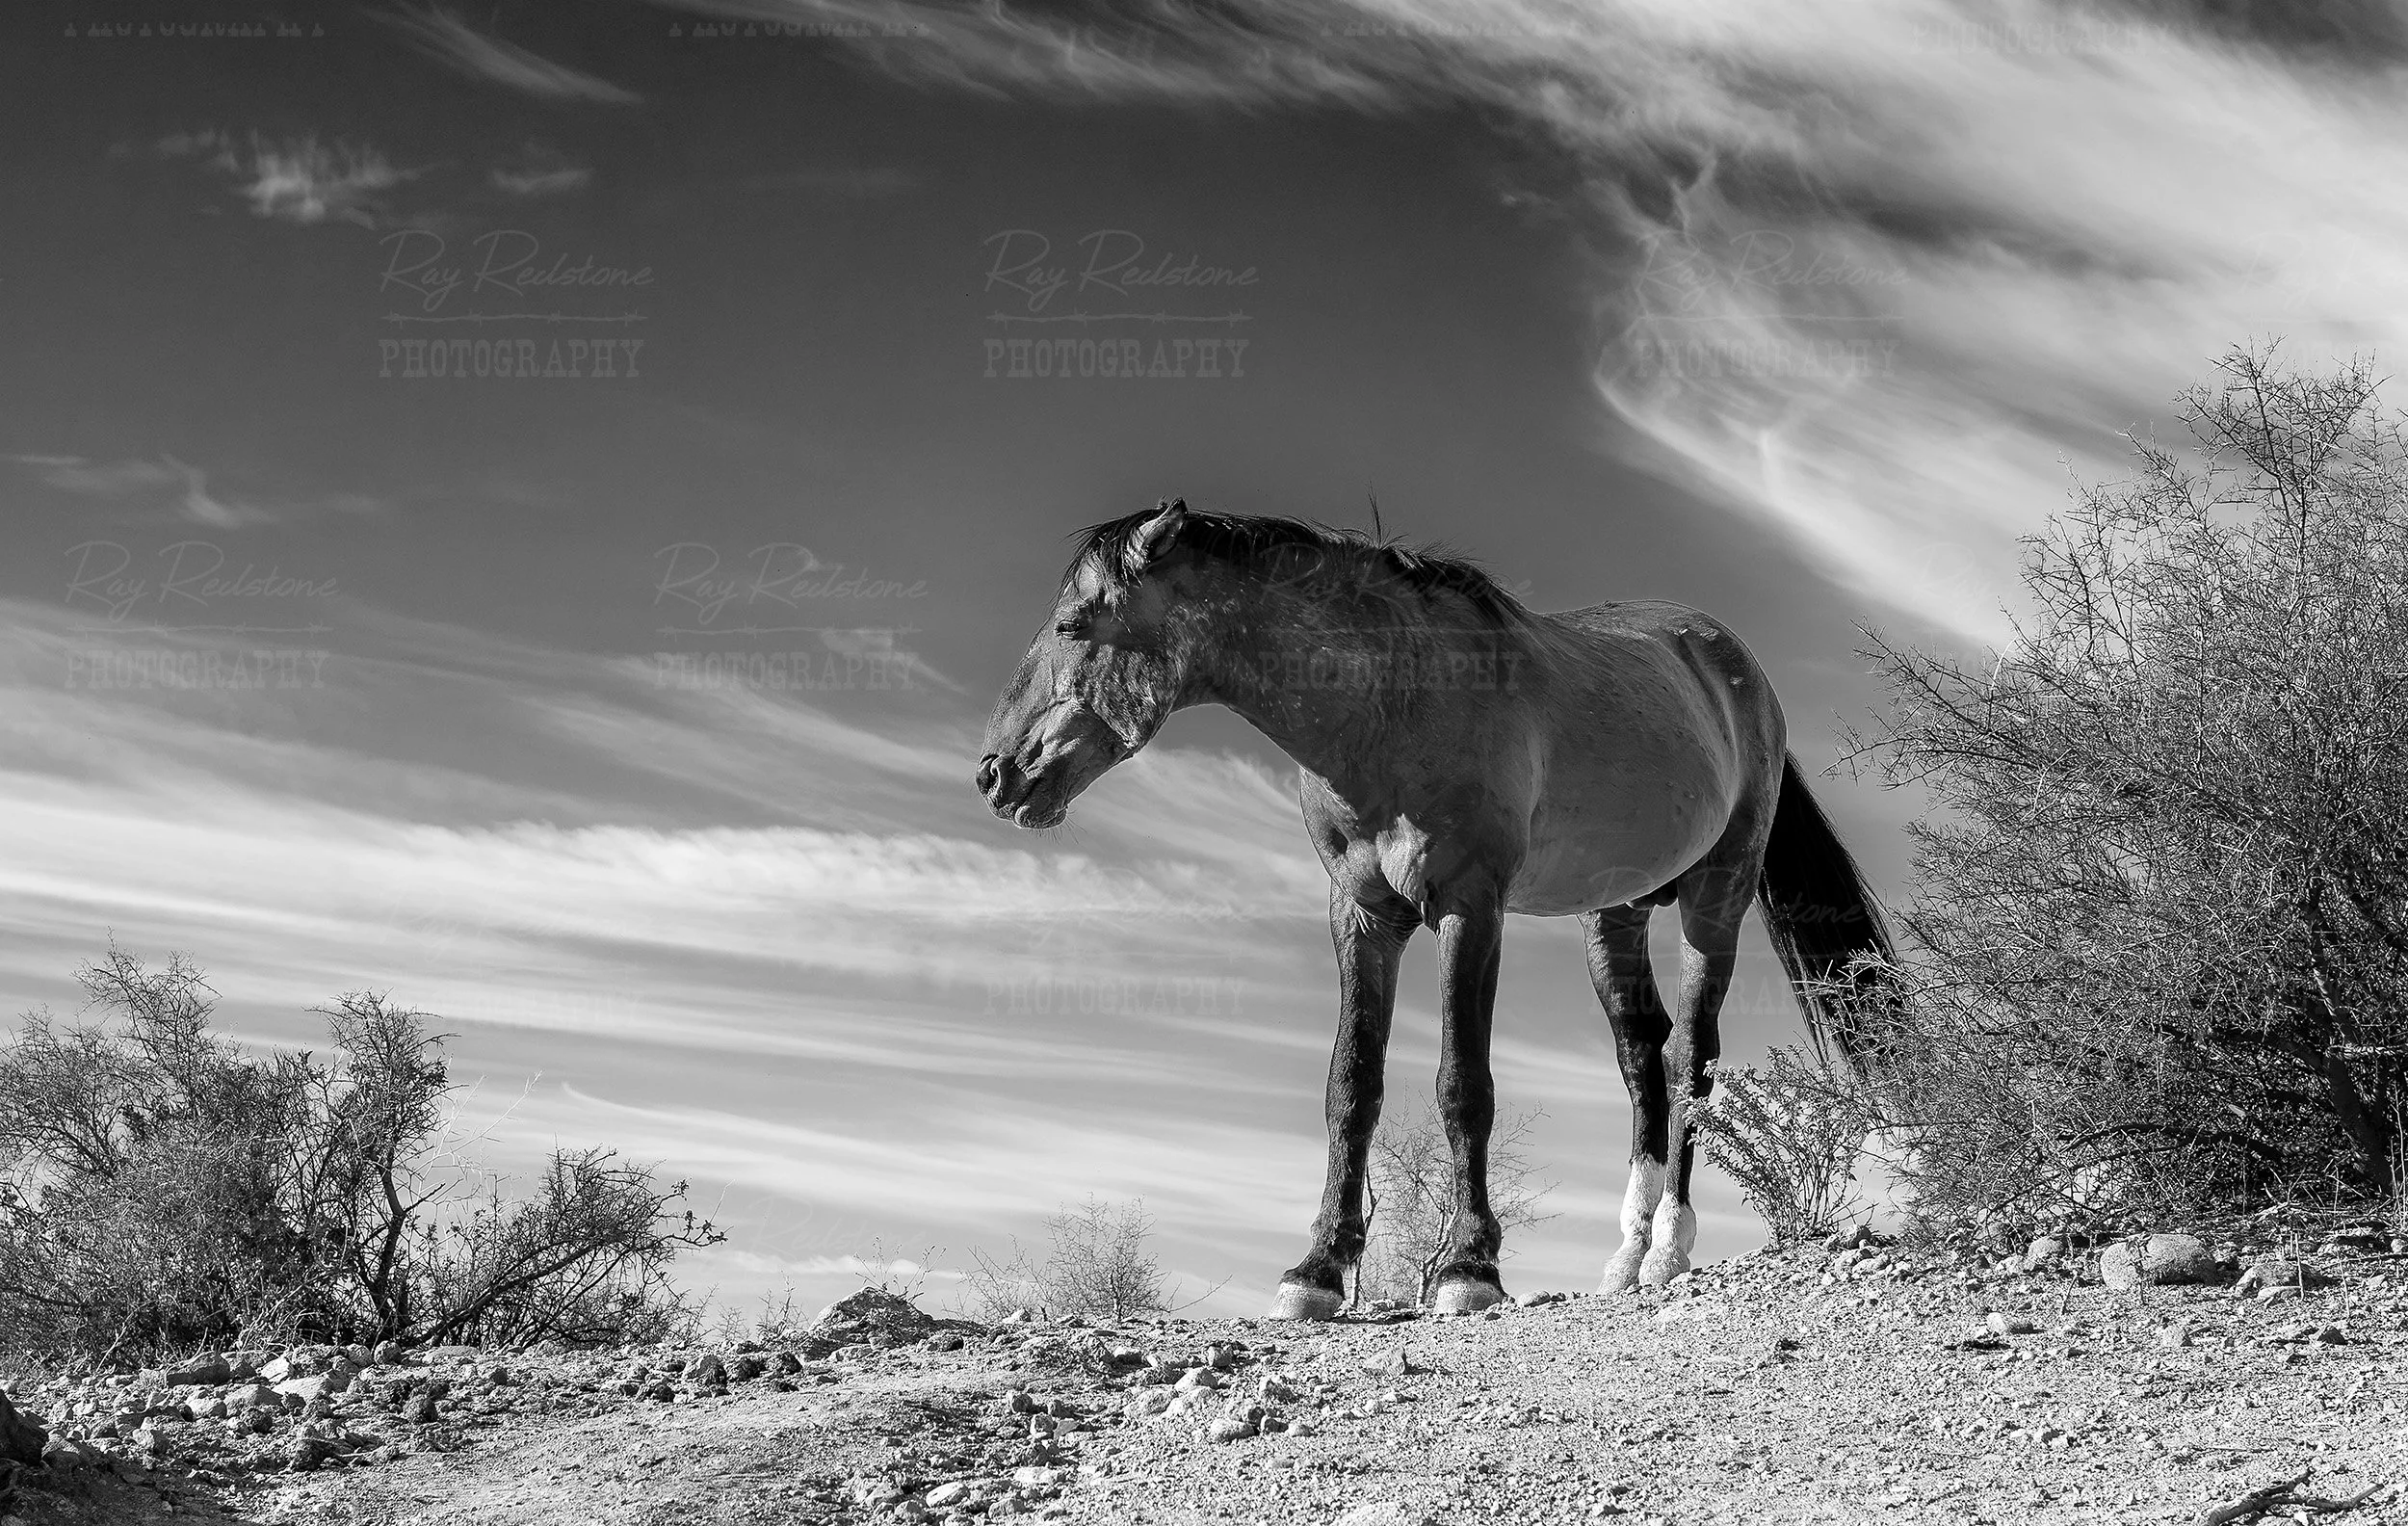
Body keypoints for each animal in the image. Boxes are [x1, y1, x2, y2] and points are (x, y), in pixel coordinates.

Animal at [977, 499, 1895, 1318]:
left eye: (1072, 625)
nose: (996, 774)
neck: (1395, 699)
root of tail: (1737, 671)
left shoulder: (1470, 908)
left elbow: (1464, 1085)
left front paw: (1469, 1268)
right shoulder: (1361, 915)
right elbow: (1352, 1086)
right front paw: (1316, 1272)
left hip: (1717, 895)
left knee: (1693, 1057)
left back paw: (1668, 1246)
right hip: (1616, 912)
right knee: (1643, 1058)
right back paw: (1627, 1256)